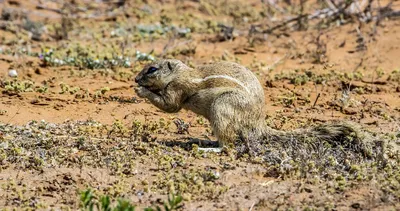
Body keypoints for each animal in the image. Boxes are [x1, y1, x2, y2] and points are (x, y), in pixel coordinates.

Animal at [136, 58, 364, 150]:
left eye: (152, 69)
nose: (135, 79)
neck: (181, 72)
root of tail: (258, 123)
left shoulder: (178, 87)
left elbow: (170, 106)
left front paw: (141, 91)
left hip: (222, 105)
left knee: (227, 145)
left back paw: (208, 148)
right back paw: (204, 141)